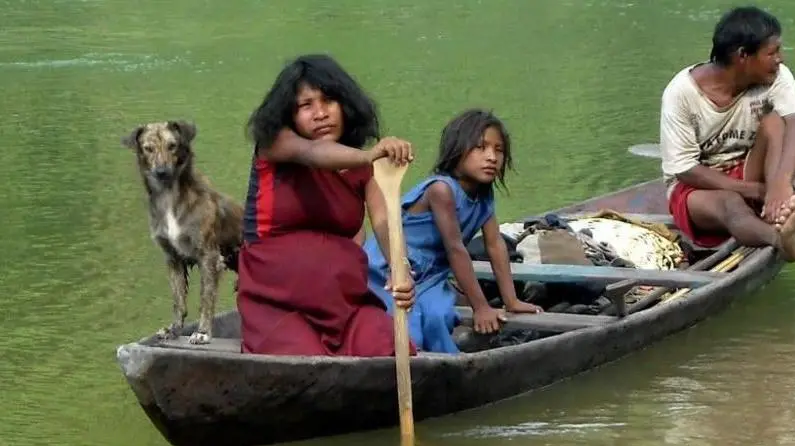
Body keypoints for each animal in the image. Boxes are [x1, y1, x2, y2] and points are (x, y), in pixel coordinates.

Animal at [121, 121, 243, 344]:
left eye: (172, 145)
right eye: (148, 148)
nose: (161, 172)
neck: (169, 197)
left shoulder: (209, 257)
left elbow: (206, 299)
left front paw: (203, 332)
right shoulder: (172, 257)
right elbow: (178, 301)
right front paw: (174, 329)